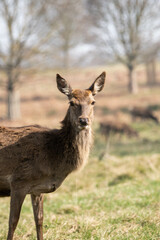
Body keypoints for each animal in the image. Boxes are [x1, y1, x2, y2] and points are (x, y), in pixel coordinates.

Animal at [0, 72, 105, 240]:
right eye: (71, 102)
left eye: (93, 102)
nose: (83, 120)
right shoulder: (18, 181)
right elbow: (13, 222)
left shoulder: (37, 189)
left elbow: (39, 220)